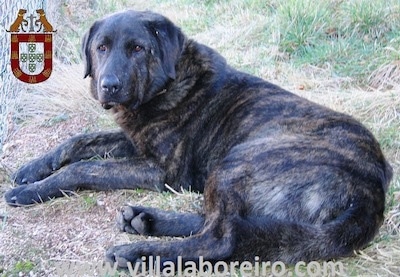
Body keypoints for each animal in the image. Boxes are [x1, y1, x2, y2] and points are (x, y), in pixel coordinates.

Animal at [4, 10, 392, 268]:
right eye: (101, 47)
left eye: (138, 48)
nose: (109, 85)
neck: (169, 84)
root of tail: (371, 191)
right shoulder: (134, 142)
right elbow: (79, 141)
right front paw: (32, 170)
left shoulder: (159, 171)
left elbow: (83, 169)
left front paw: (31, 191)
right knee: (227, 222)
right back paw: (144, 220)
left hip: (239, 160)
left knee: (222, 237)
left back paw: (138, 254)